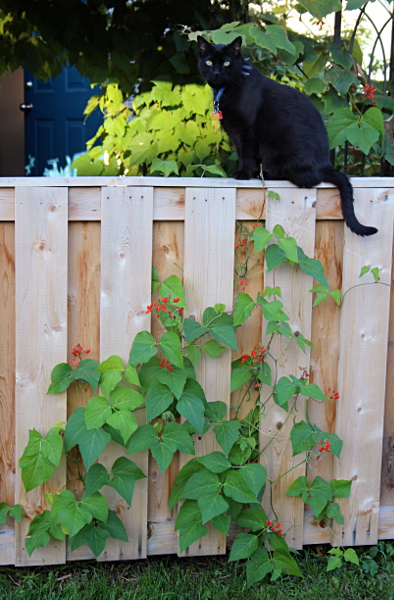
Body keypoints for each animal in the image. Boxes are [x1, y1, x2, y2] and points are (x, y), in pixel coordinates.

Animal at [199, 35, 378, 237]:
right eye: (209, 62)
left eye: (227, 63)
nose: (216, 72)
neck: (230, 88)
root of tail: (326, 165)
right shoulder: (235, 132)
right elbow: (242, 153)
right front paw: (246, 172)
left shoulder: (246, 131)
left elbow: (246, 154)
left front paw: (243, 174)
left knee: (306, 179)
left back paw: (266, 175)